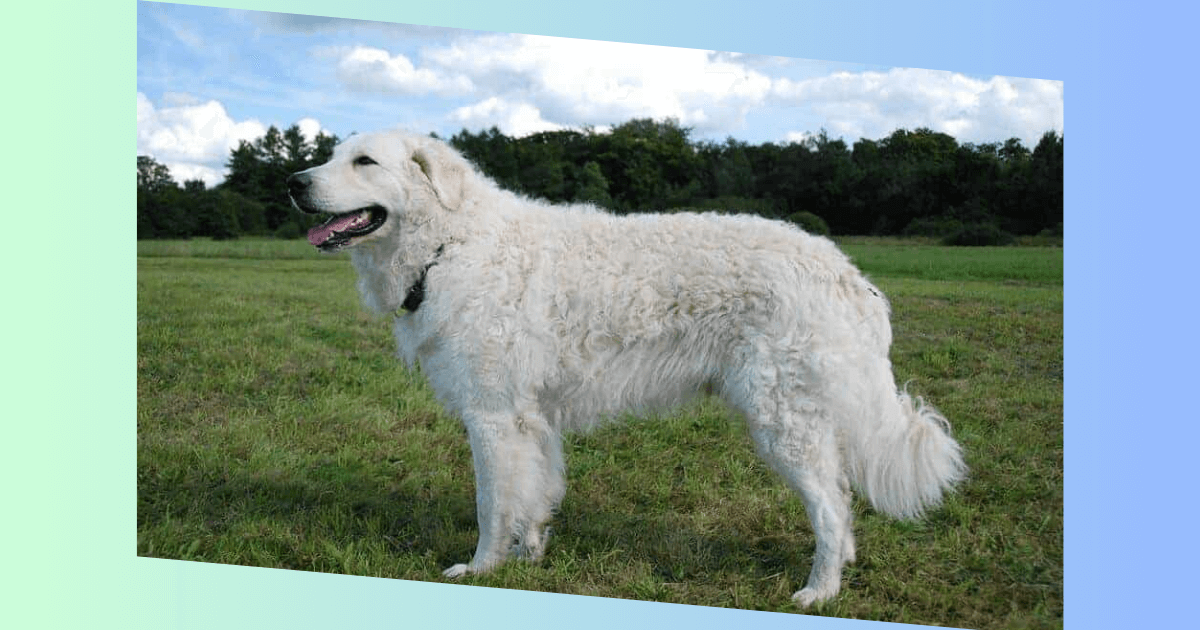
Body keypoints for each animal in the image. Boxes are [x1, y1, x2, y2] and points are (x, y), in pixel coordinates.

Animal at [288, 127, 964, 604]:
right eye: (331, 155)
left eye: (365, 162)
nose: (294, 182)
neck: (451, 243)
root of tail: (844, 270)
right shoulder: (532, 420)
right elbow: (534, 495)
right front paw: (529, 558)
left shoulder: (493, 417)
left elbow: (492, 505)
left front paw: (480, 569)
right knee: (841, 503)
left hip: (782, 421)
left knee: (830, 506)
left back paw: (819, 591)